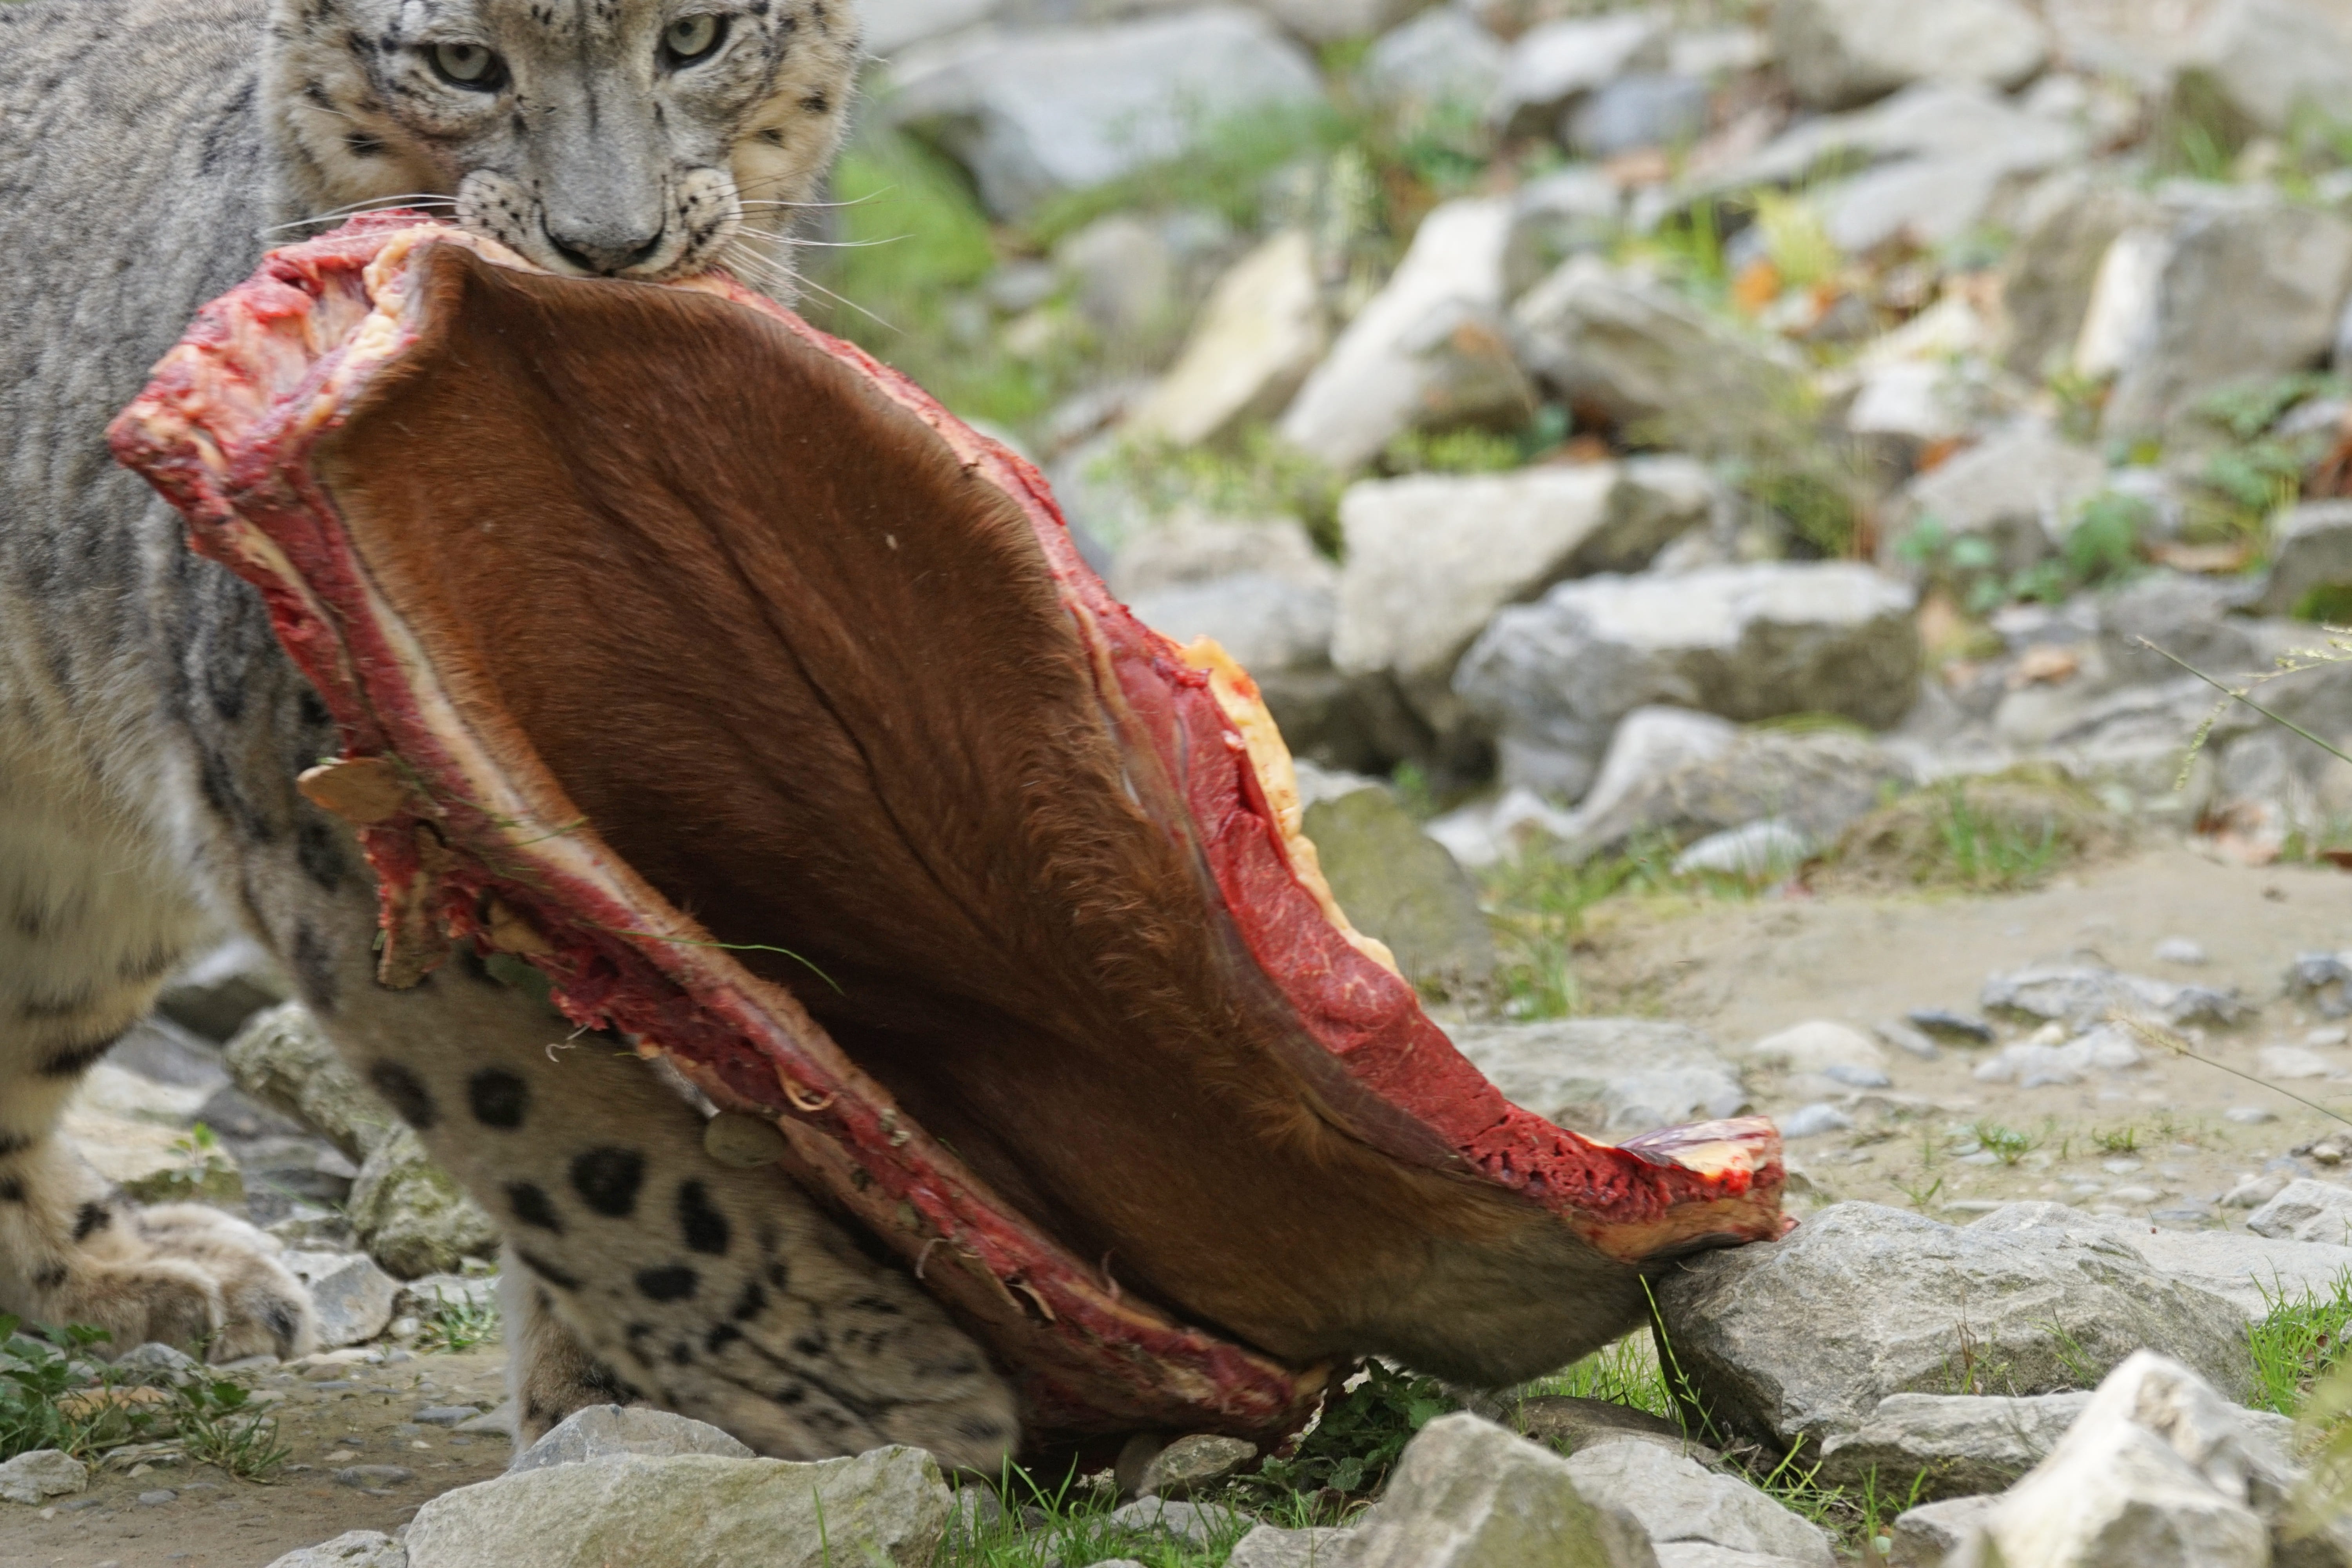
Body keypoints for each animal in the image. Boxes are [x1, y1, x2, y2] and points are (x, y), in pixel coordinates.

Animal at [0, 0, 1020, 1469]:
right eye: (465, 62)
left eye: (695, 37)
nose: (610, 244)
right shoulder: (321, 807)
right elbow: (554, 1129)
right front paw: (854, 1384)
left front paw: (624, 1398)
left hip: (80, 892)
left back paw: (143, 1269)